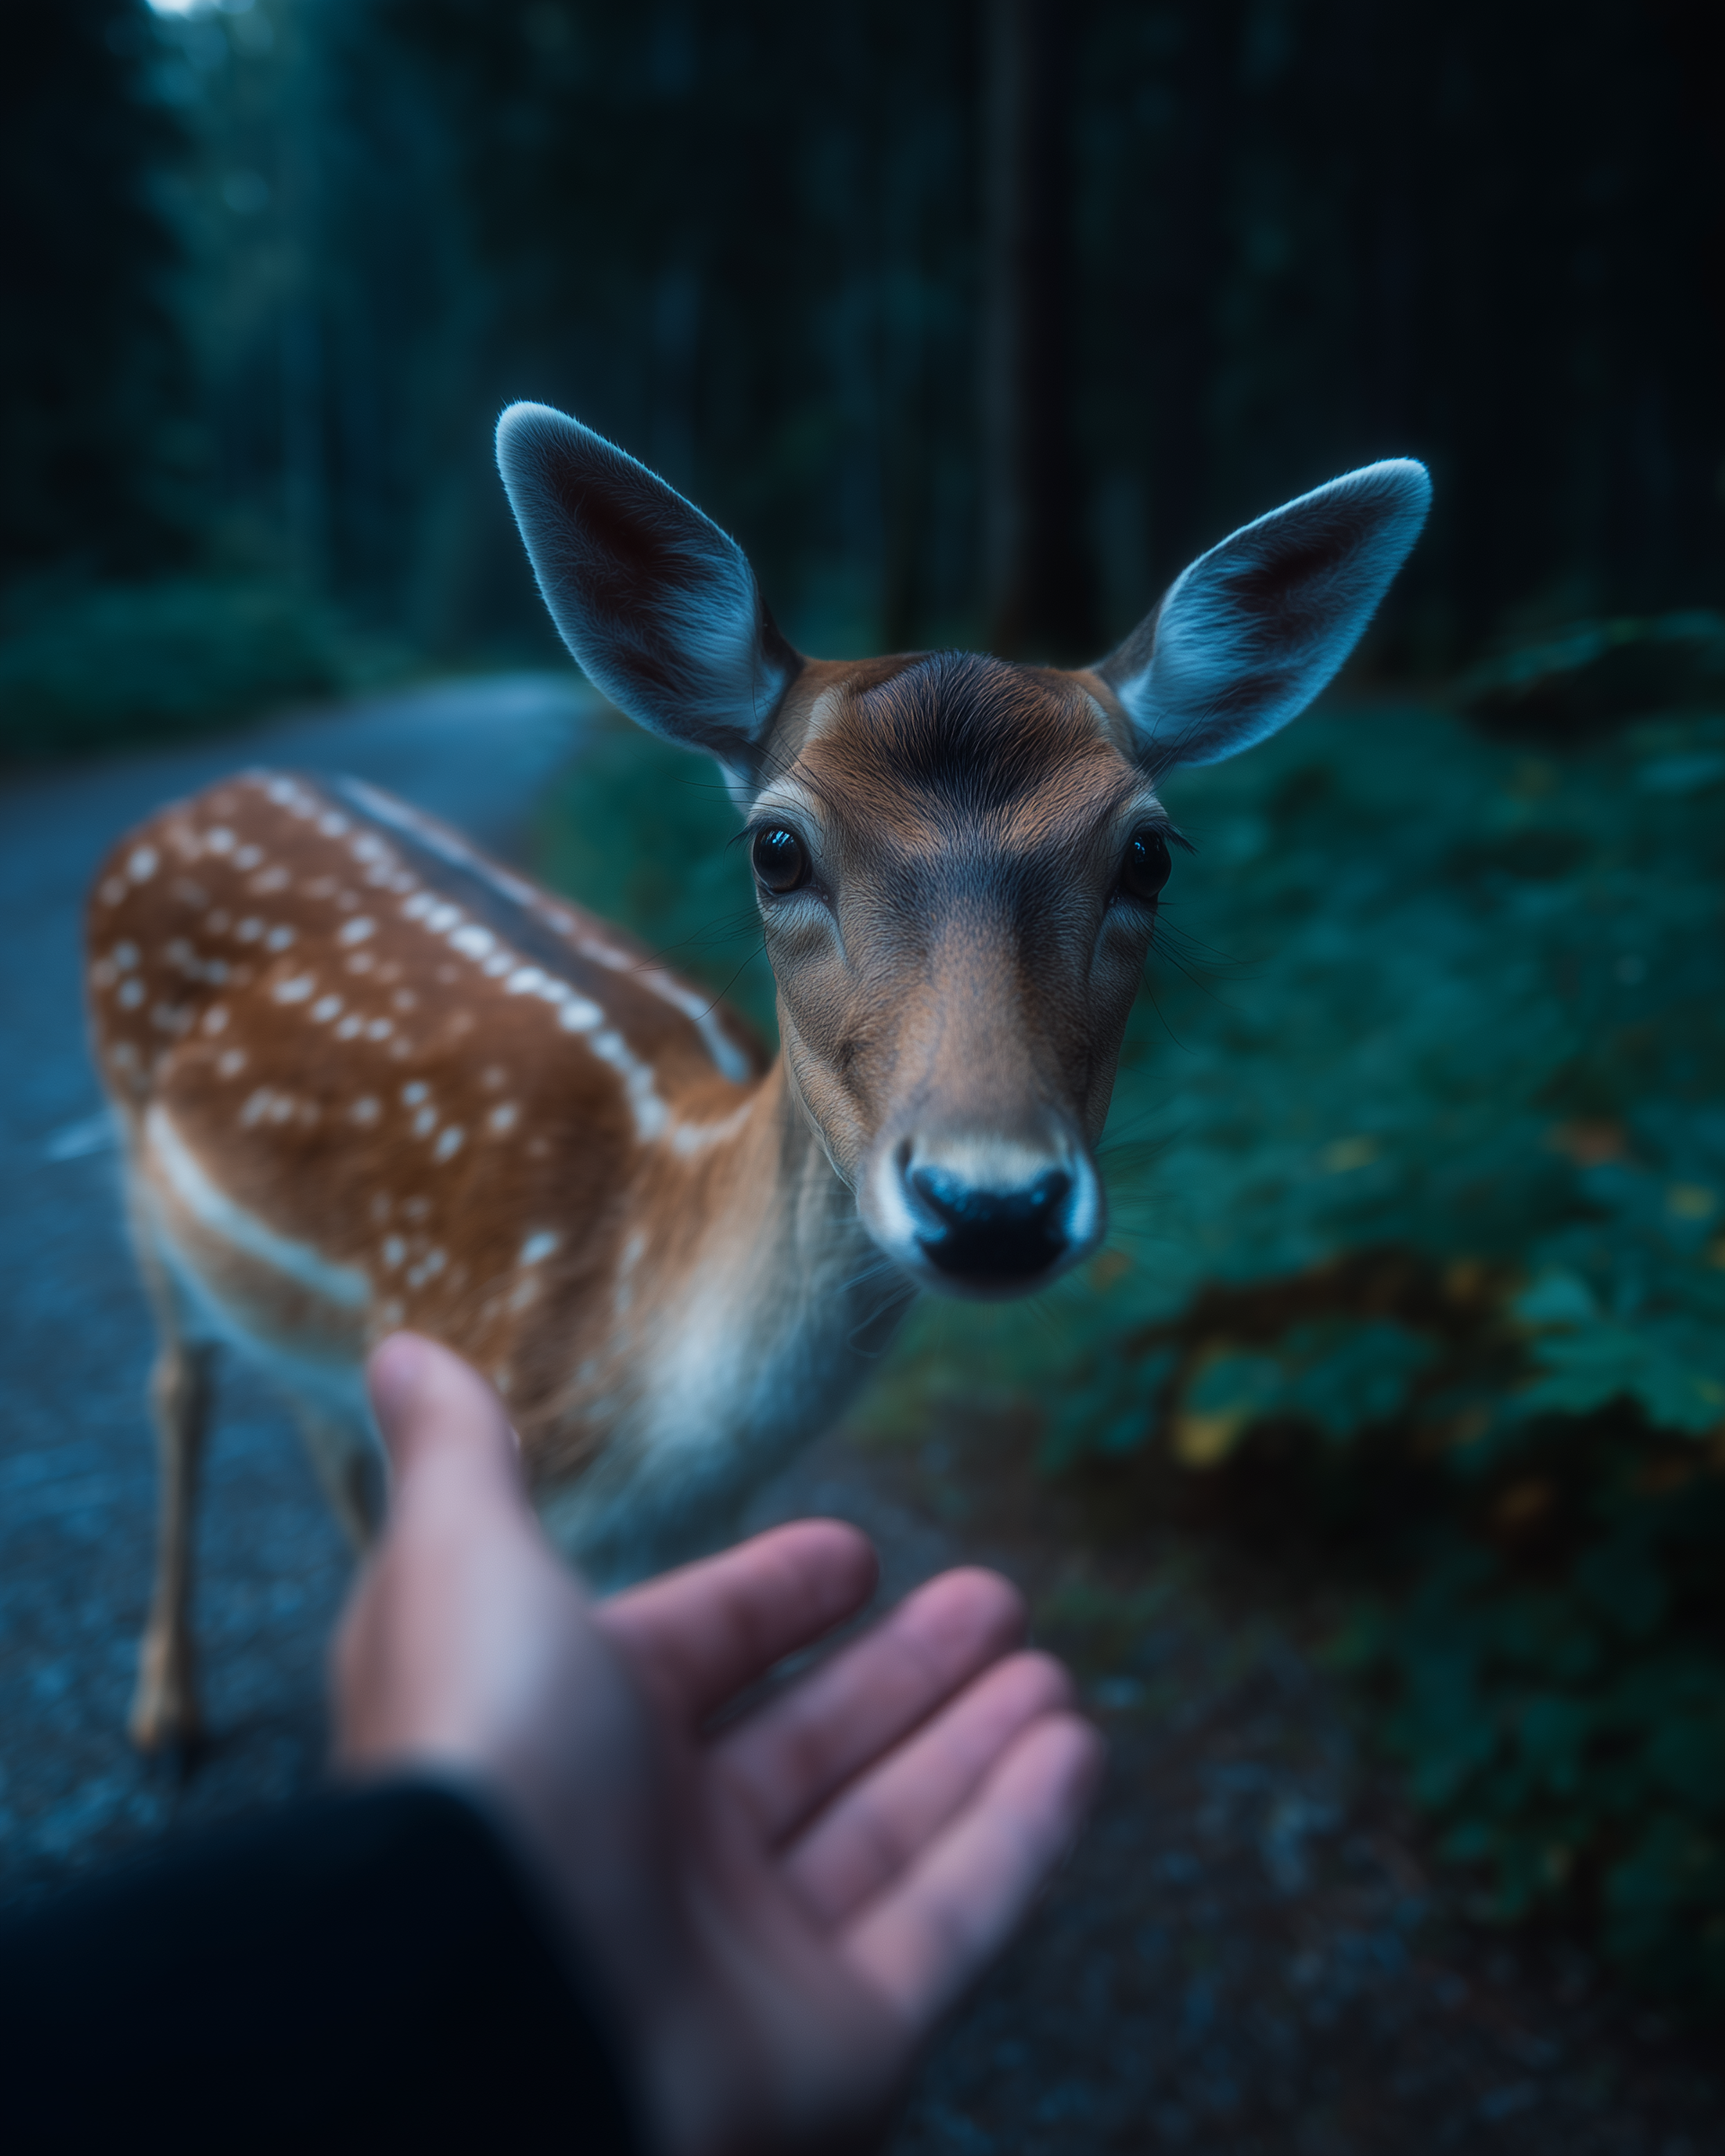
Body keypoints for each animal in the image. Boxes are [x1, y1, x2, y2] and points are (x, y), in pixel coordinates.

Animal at [86, 400, 1429, 1751]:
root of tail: (208, 791)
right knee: (175, 1382)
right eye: (776, 847)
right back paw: (165, 1706)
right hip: (135, 1158)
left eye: (1150, 853)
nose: (991, 1202)